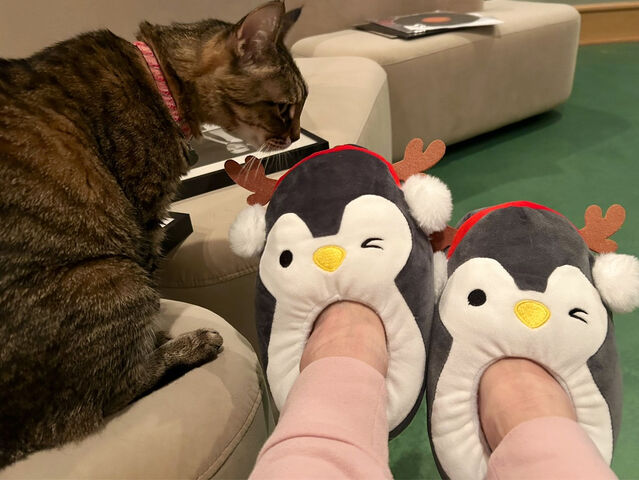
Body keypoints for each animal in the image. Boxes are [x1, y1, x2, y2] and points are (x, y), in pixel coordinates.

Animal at [0, 0, 307, 467]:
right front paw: (161, 336)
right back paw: (190, 345)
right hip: (113, 276)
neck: (158, 79)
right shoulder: (143, 222)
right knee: (108, 395)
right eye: (286, 108)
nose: (294, 136)